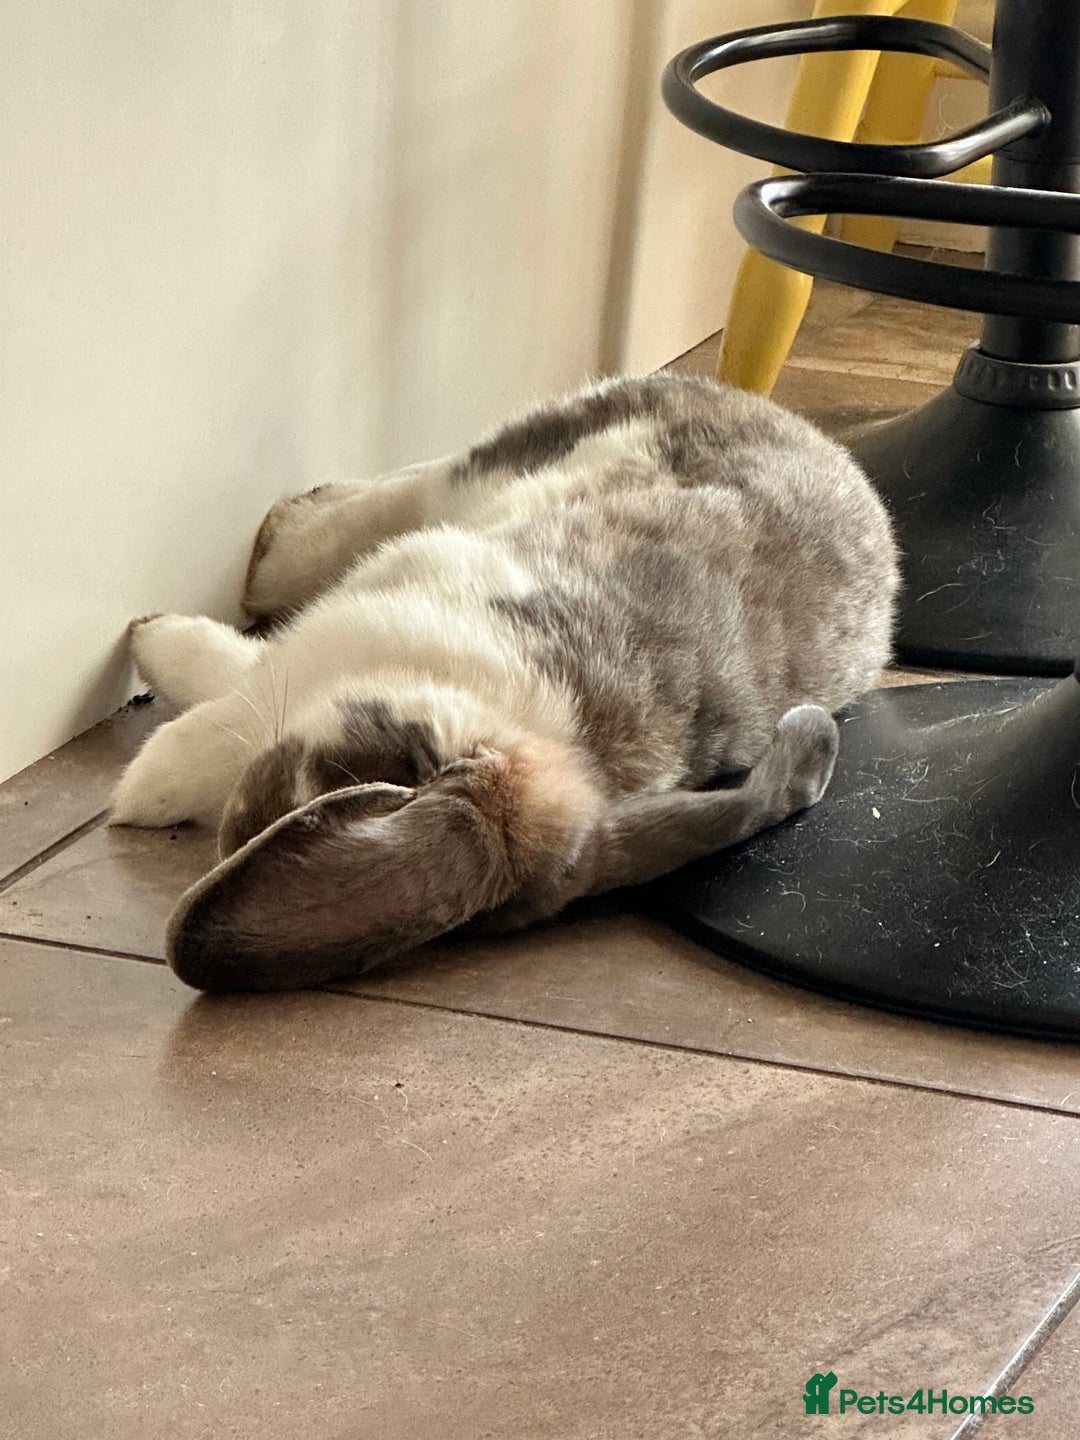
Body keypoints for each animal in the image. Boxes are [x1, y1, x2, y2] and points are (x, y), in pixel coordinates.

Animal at [111, 372, 899, 992]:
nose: (237, 822)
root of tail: (802, 428)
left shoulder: (319, 655)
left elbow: (226, 701)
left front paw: (143, 775)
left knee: (400, 497)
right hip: (516, 461)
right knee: (405, 487)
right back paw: (280, 534)